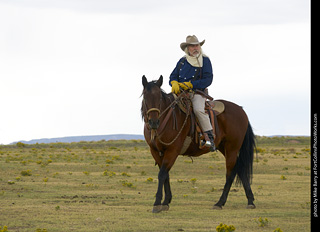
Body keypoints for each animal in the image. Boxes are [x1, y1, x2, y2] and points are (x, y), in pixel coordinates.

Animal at [141, 75, 256, 213]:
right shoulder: (155, 151)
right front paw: (166, 201)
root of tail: (241, 110)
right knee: (240, 169)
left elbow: (162, 174)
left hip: (232, 148)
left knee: (230, 173)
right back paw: (250, 201)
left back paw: (220, 202)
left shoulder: (173, 150)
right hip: (223, 147)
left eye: (159, 98)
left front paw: (157, 203)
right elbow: (165, 175)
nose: (153, 122)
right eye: (145, 98)